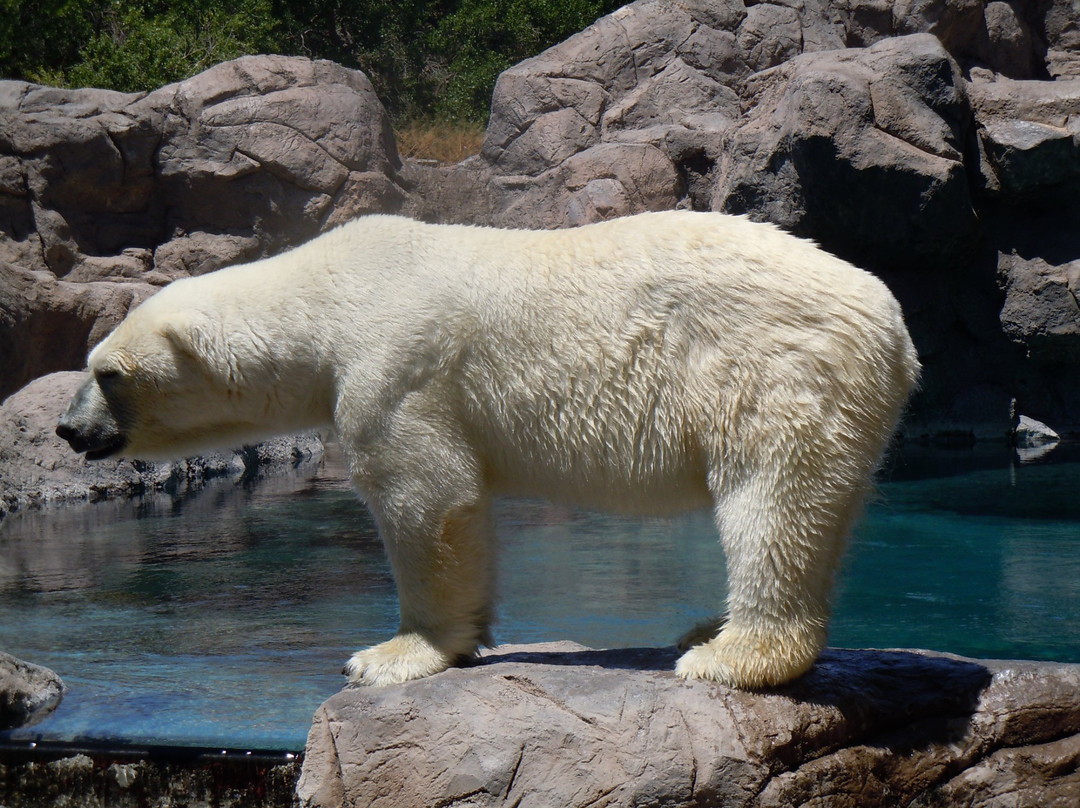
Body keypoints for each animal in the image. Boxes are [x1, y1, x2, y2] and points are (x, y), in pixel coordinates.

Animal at [56, 209, 920, 687]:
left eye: (107, 374)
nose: (68, 429)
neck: (326, 291)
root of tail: (892, 322)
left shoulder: (396, 365)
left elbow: (428, 497)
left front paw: (390, 655)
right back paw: (710, 629)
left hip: (774, 368)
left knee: (771, 501)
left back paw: (727, 653)